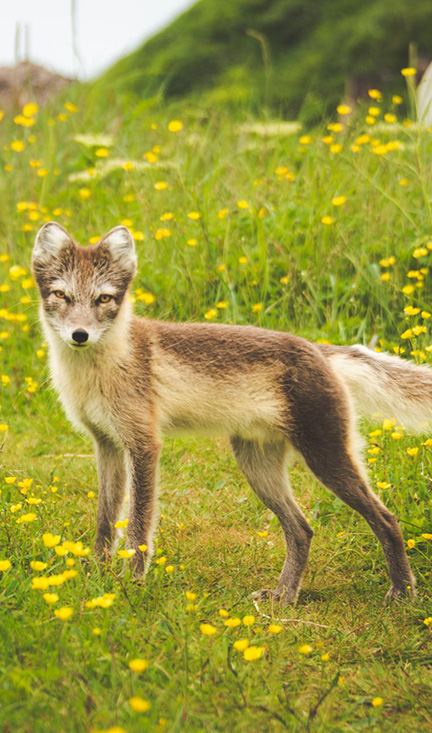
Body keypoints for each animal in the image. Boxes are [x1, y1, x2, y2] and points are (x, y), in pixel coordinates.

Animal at [32, 223, 426, 608]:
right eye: (62, 295)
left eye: (104, 298)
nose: (79, 335)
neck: (99, 368)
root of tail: (318, 349)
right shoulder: (107, 445)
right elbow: (105, 519)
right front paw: (96, 573)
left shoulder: (144, 444)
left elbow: (138, 526)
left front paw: (132, 582)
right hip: (257, 467)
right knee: (302, 529)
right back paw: (284, 597)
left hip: (325, 457)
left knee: (387, 519)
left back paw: (402, 592)